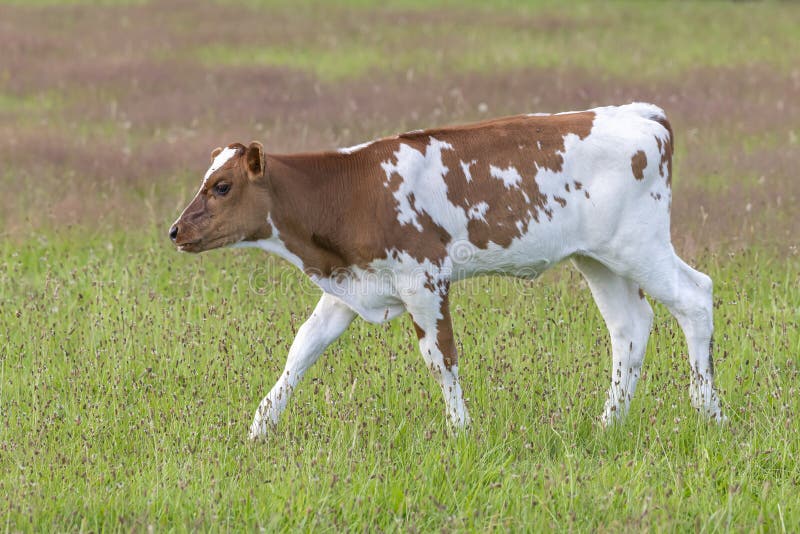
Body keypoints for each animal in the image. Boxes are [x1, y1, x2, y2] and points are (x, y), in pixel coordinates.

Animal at [169, 103, 724, 440]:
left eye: (221, 186)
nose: (175, 231)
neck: (352, 191)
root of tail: (638, 112)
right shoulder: (352, 285)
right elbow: (302, 349)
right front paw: (258, 429)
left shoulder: (425, 279)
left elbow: (441, 359)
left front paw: (462, 432)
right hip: (599, 258)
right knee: (629, 327)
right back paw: (608, 424)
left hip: (640, 245)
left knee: (695, 297)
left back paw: (708, 412)